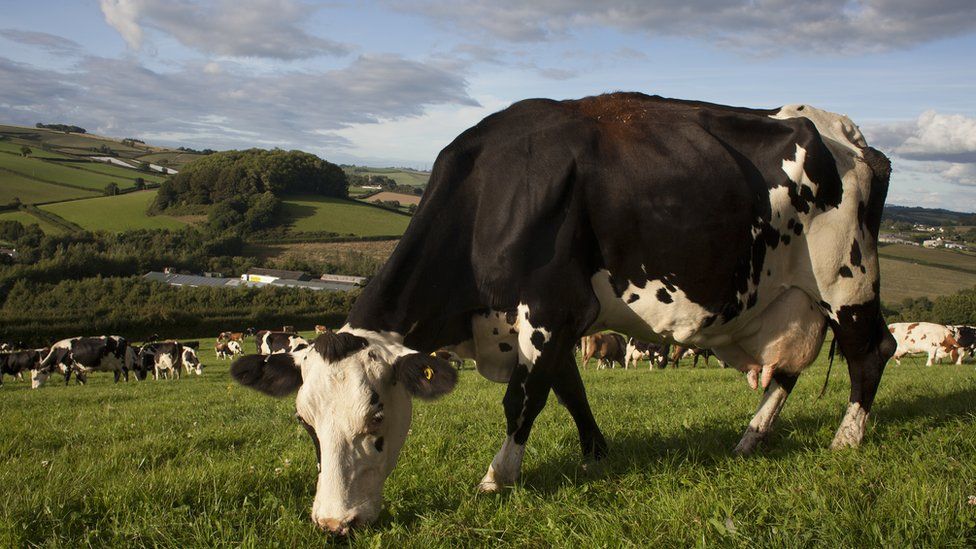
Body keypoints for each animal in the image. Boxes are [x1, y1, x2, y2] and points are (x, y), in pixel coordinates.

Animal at [233, 93, 896, 532]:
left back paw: (846, 438)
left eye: (376, 420)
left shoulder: (552, 306)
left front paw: (498, 476)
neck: (492, 193)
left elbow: (524, 398)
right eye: (305, 425)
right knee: (788, 369)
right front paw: (596, 453)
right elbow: (568, 387)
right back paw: (752, 437)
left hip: (847, 279)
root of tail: (845, 131)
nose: (332, 523)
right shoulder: (550, 322)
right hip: (794, 300)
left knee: (871, 350)